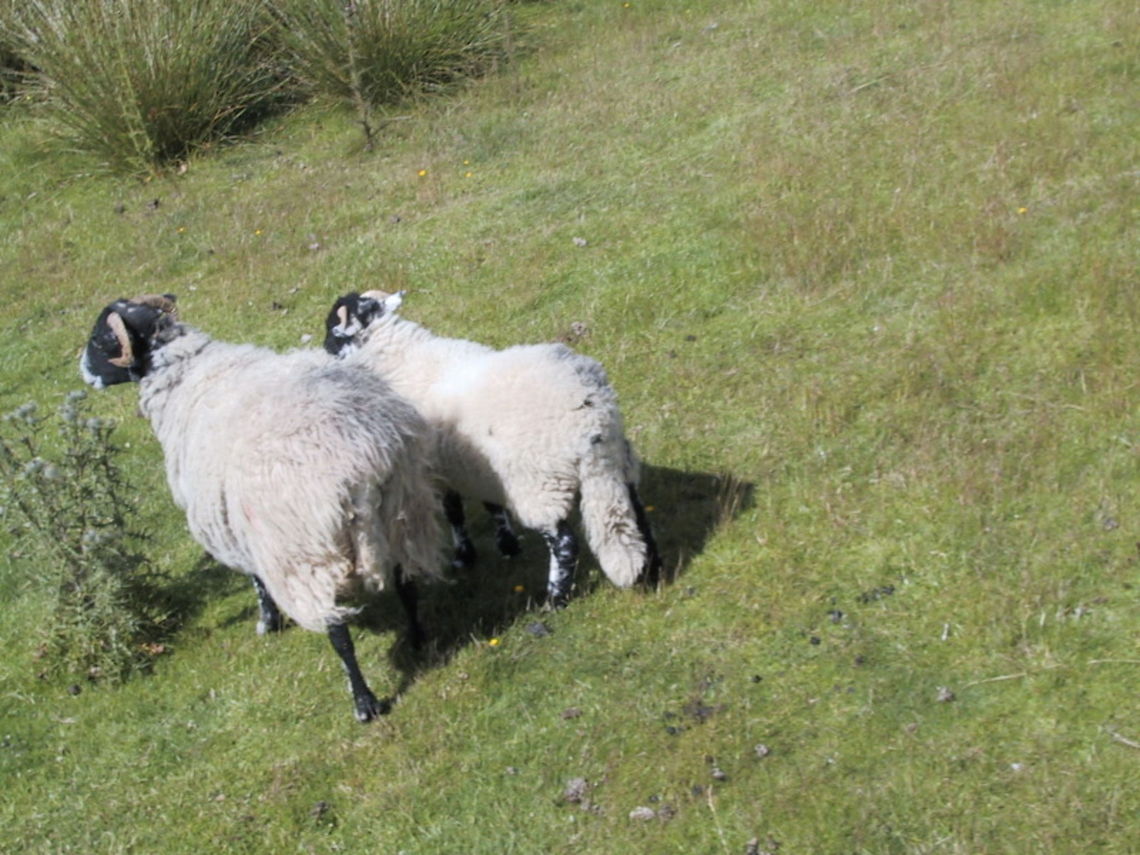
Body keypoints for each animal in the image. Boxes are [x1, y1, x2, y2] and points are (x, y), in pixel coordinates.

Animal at [80, 294, 443, 722]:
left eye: (100, 339)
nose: (83, 369)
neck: (186, 372)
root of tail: (365, 457)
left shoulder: (240, 527)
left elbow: (256, 579)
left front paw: (268, 622)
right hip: (406, 514)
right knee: (407, 586)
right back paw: (418, 638)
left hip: (305, 553)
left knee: (338, 632)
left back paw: (364, 702)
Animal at [323, 289, 661, 607]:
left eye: (333, 331)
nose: (324, 355)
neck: (402, 360)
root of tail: (592, 413)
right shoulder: (474, 463)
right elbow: (491, 505)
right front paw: (507, 544)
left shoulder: (435, 470)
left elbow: (454, 512)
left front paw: (464, 556)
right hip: (617, 462)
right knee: (635, 513)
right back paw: (652, 569)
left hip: (540, 483)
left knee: (564, 542)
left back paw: (555, 599)